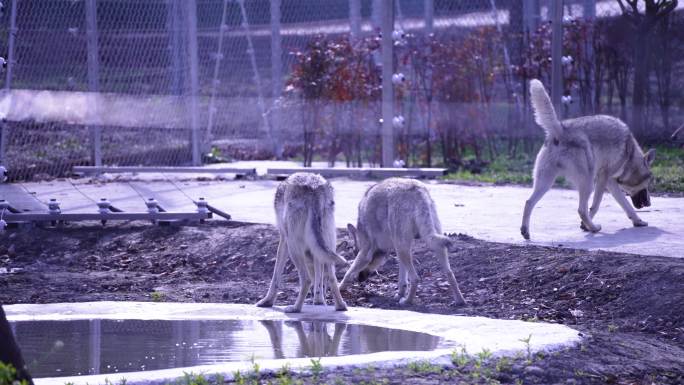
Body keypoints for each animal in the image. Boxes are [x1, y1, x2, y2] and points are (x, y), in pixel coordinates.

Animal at [258, 172, 350, 314]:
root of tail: (313, 187)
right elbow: (319, 277)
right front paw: (319, 300)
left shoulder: (283, 239)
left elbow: (276, 275)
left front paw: (267, 301)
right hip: (329, 243)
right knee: (332, 277)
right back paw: (340, 306)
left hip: (292, 246)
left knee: (306, 279)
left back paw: (295, 308)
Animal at [340, 177, 468, 306]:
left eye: (355, 253)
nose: (360, 279)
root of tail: (417, 189)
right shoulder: (397, 250)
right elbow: (402, 279)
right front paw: (399, 294)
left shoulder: (366, 252)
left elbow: (348, 273)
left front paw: (339, 289)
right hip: (429, 244)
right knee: (449, 273)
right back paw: (460, 301)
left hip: (403, 247)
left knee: (415, 278)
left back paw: (407, 301)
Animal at [520, 79, 656, 238]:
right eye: (647, 184)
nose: (649, 204)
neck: (630, 155)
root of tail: (561, 130)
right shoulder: (605, 179)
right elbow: (596, 206)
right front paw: (585, 226)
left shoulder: (611, 183)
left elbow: (626, 206)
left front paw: (638, 221)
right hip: (587, 183)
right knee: (581, 210)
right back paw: (594, 228)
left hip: (546, 182)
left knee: (528, 202)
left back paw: (525, 231)